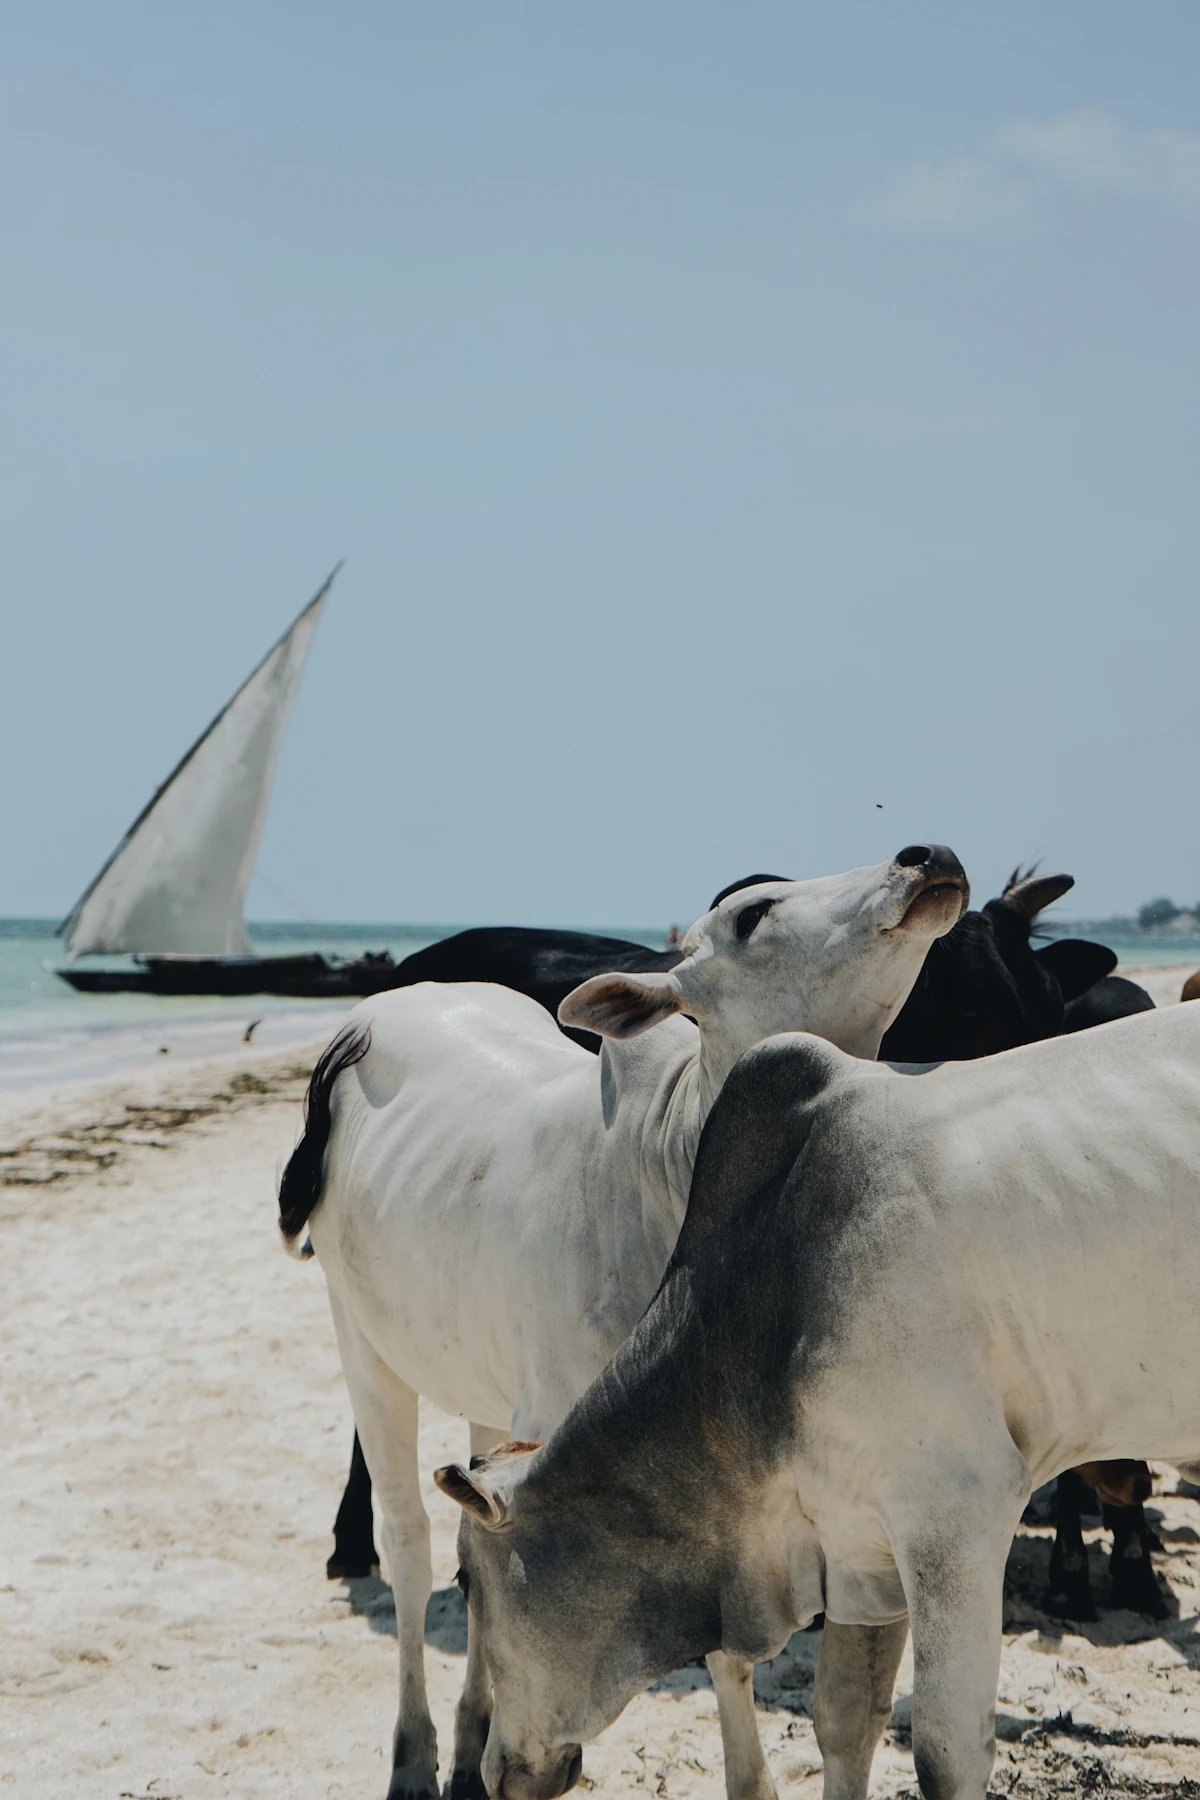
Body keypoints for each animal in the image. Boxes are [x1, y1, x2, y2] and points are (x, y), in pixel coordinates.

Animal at [279, 847, 968, 1800]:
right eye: (752, 916)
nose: (924, 858)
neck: (672, 1169)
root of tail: (368, 1018)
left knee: (459, 1533)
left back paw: (468, 1739)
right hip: (363, 1344)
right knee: (408, 1546)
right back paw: (414, 1755)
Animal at [439, 1004, 1200, 1800]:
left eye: (465, 1580)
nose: (497, 1773)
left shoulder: (956, 1516)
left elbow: (944, 1754)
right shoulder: (863, 1539)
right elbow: (844, 1719)